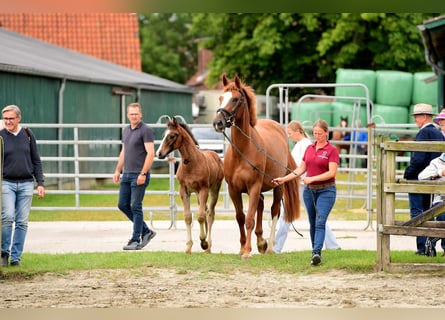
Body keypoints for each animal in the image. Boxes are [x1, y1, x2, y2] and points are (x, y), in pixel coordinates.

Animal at [156, 116, 225, 254]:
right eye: (163, 135)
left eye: (172, 135)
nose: (159, 153)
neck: (191, 163)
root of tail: (215, 155)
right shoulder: (184, 191)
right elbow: (188, 217)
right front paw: (188, 247)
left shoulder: (203, 189)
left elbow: (200, 216)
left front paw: (203, 242)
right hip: (198, 194)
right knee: (205, 210)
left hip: (214, 190)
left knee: (210, 214)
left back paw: (208, 246)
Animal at [212, 75, 302, 260]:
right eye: (220, 98)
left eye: (235, 99)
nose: (218, 122)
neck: (243, 151)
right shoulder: (233, 190)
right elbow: (240, 217)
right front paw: (242, 247)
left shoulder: (253, 187)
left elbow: (249, 219)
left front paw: (247, 251)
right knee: (260, 205)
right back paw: (261, 242)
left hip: (278, 186)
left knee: (274, 210)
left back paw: (269, 247)